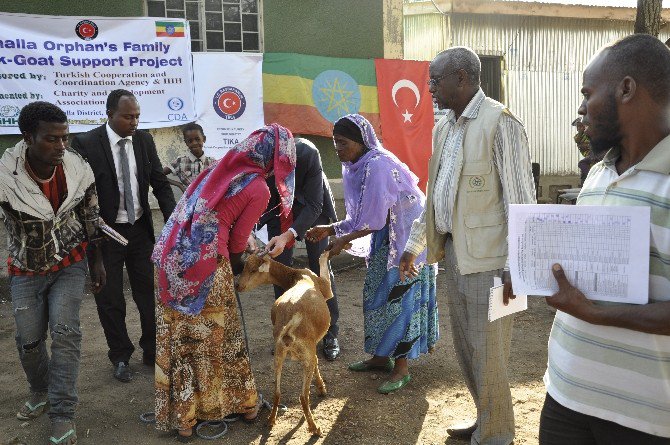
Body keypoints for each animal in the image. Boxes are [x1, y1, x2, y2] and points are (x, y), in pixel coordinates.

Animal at [239, 251, 336, 436]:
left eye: (253, 269)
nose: (237, 285)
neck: (297, 276)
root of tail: (289, 326)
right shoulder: (326, 288)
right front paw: (322, 389)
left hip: (278, 354)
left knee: (277, 392)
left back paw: (271, 420)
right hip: (305, 352)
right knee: (303, 396)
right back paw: (314, 428)